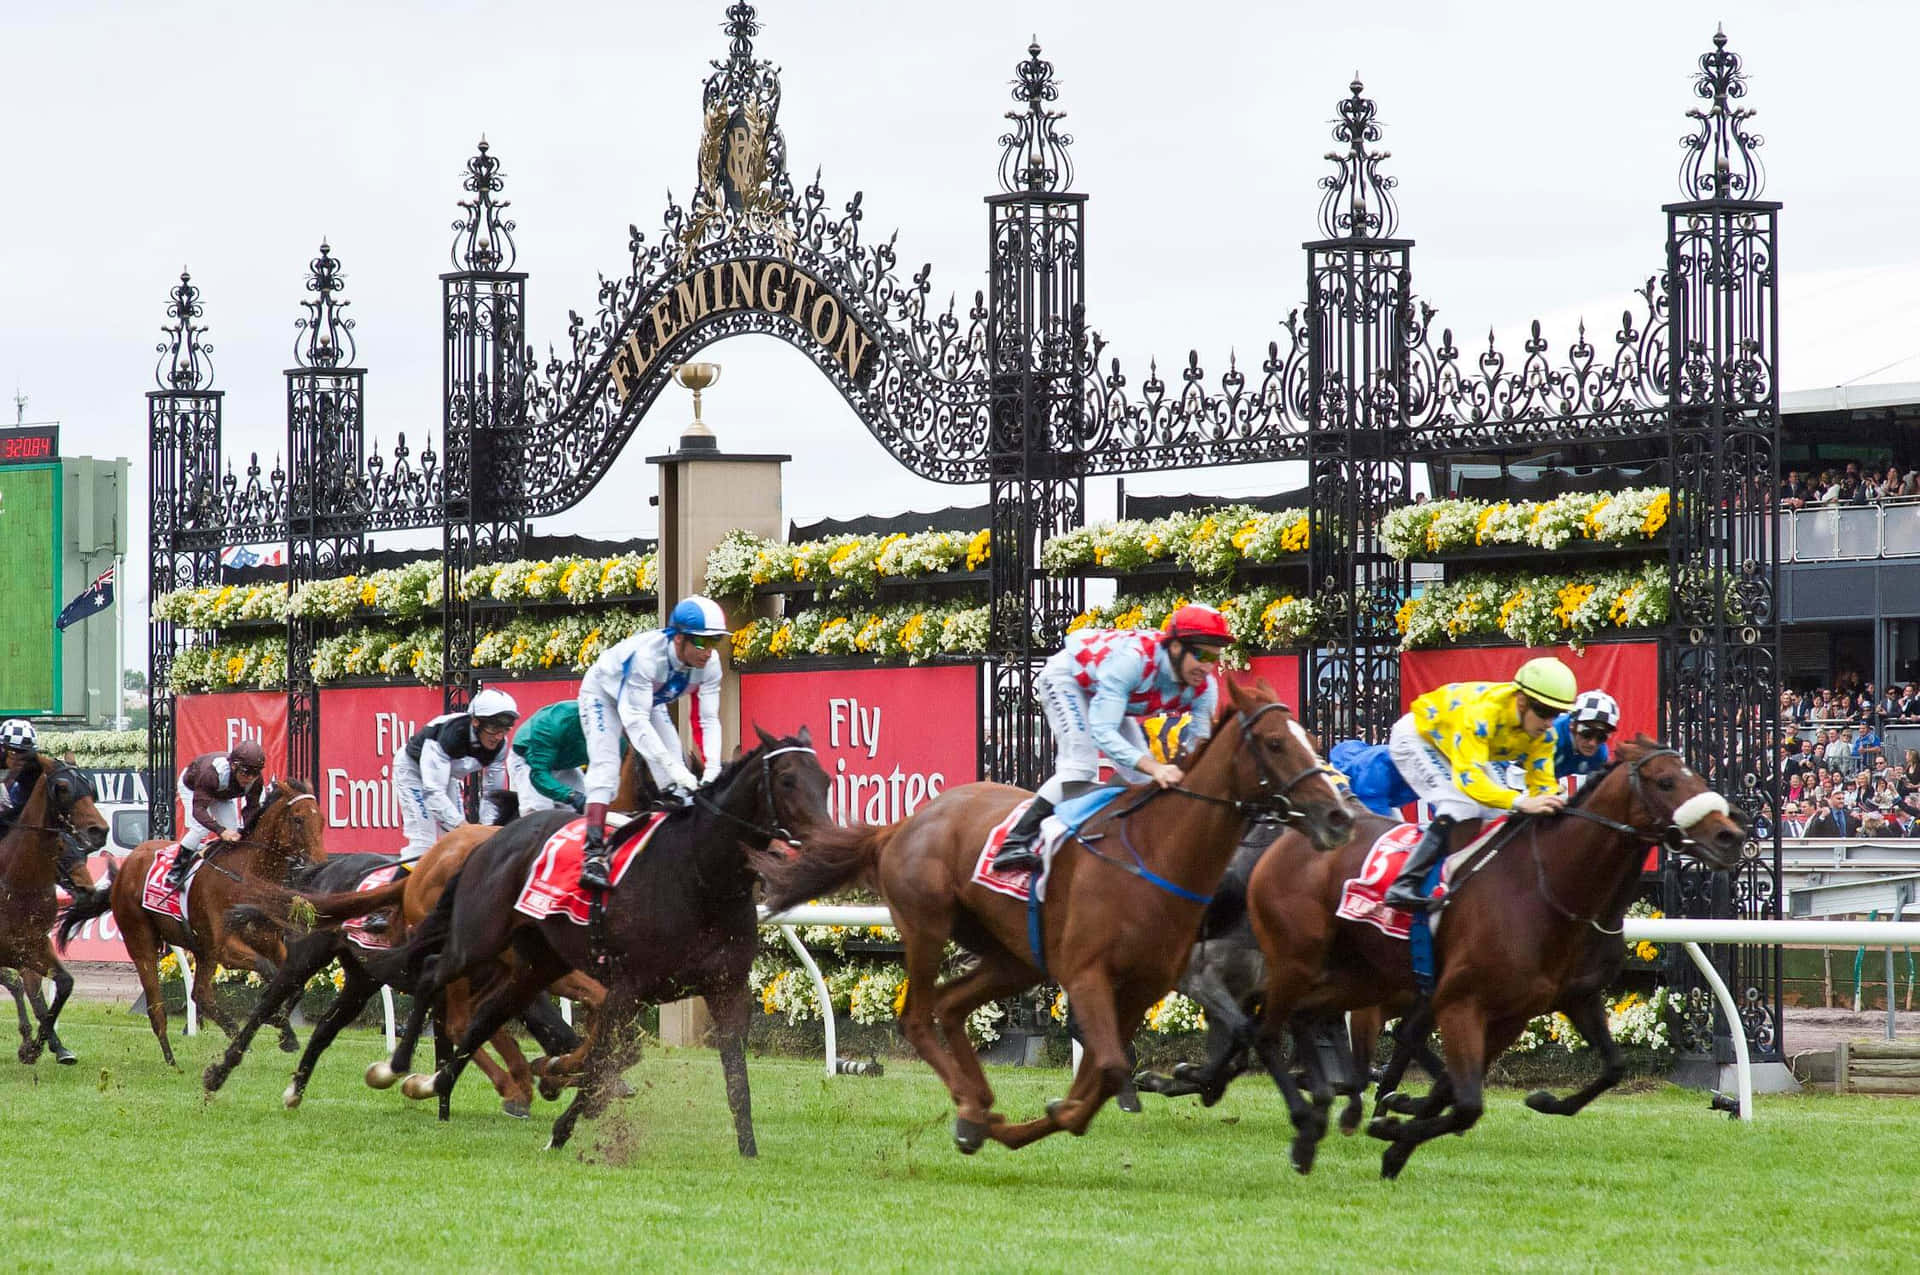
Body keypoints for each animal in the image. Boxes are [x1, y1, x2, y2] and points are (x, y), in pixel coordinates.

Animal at [0, 756, 110, 1067]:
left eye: (90, 787)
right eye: (62, 788)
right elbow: (22, 985)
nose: (99, 830)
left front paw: (39, 1046)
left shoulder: (33, 945)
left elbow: (61, 984)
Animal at [370, 725, 837, 1152]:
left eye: (827, 780)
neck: (699, 876)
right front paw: (562, 1123)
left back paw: (441, 1082)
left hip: (538, 963)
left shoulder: (727, 988)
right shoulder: (626, 989)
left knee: (484, 1017)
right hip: (478, 939)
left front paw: (748, 1150)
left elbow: (734, 1076)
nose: (824, 842)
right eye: (787, 780)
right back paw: (398, 1069)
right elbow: (605, 1060)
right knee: (435, 976)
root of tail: (482, 842)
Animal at [752, 675, 1351, 1152]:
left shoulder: (1144, 985)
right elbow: (1110, 1067)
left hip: (1015, 957)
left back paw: (975, 1108)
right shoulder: (1088, 973)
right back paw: (971, 1106)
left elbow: (1104, 1076)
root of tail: (901, 825)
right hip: (926, 926)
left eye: (1312, 738)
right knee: (918, 1016)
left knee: (950, 1007)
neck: (1155, 852)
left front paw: (1034, 1119)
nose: (1338, 816)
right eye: (1275, 743)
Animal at [1236, 737, 1751, 1175]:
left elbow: (1611, 1067)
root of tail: (1289, 839)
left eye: (1698, 775)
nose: (1730, 836)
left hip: (1354, 979)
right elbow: (1466, 1103)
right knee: (1281, 1024)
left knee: (1308, 1019)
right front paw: (1396, 1134)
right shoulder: (1461, 1002)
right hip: (1312, 966)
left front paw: (1538, 1101)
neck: (1546, 889)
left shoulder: (1547, 1004)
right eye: (1665, 782)